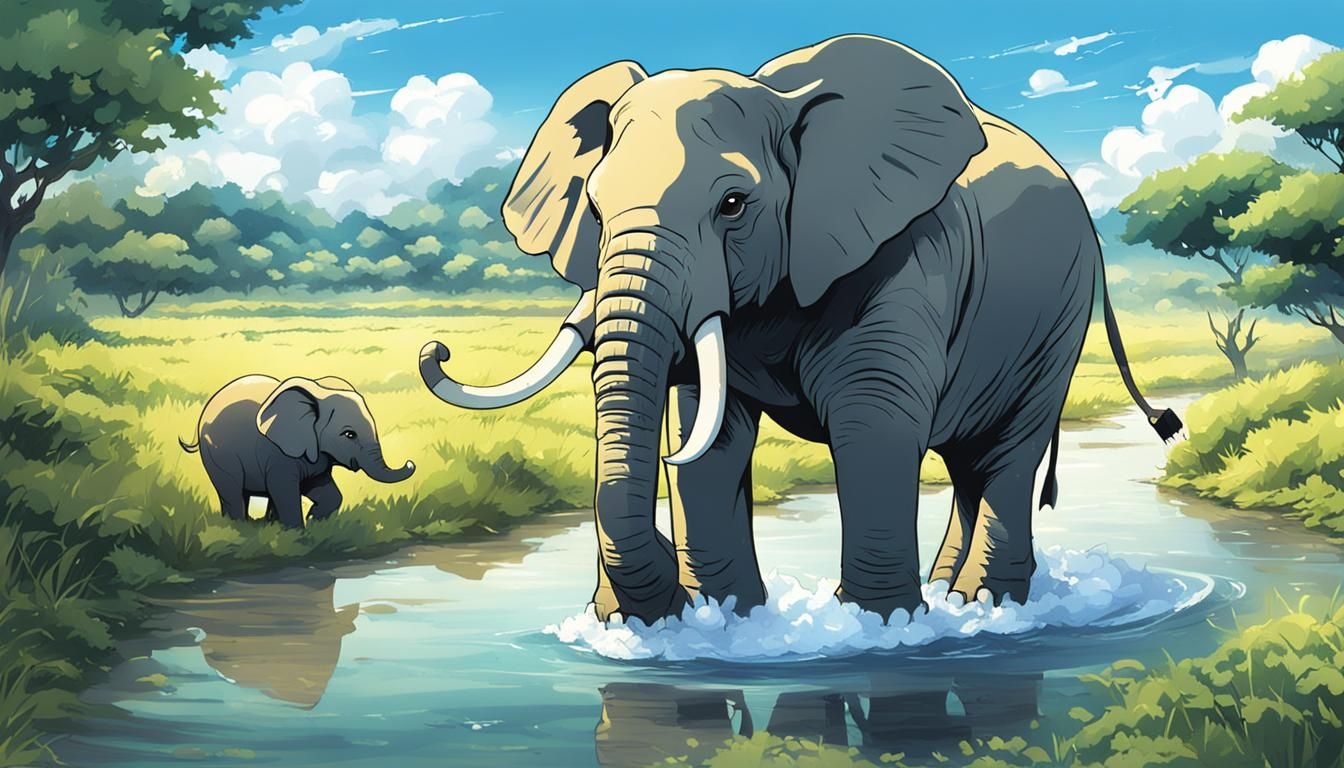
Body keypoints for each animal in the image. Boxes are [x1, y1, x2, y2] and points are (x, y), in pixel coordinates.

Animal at [181, 375, 415, 528]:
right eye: (349, 435)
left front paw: (312, 522)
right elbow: (285, 490)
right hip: (217, 454)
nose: (410, 462)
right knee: (232, 490)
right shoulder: (278, 452)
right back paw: (239, 527)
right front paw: (298, 534)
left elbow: (325, 490)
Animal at [419, 35, 1180, 622]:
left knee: (1008, 453)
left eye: (733, 204)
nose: (435, 349)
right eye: (597, 210)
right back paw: (953, 598)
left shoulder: (902, 255)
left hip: (1056, 320)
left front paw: (876, 628)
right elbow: (710, 434)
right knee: (970, 465)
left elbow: (874, 426)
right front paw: (724, 620)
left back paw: (983, 608)